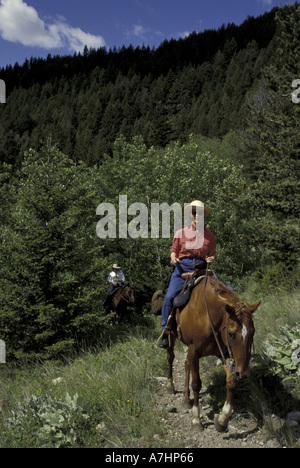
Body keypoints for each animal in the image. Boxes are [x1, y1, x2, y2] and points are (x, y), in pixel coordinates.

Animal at [166, 276, 260, 434]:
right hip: (171, 336)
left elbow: (231, 382)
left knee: (186, 365)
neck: (208, 316)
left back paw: (186, 399)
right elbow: (196, 384)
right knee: (170, 358)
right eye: (231, 334)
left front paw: (222, 420)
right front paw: (196, 420)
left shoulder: (225, 354)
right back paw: (170, 386)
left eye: (252, 332)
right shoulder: (194, 351)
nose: (243, 373)